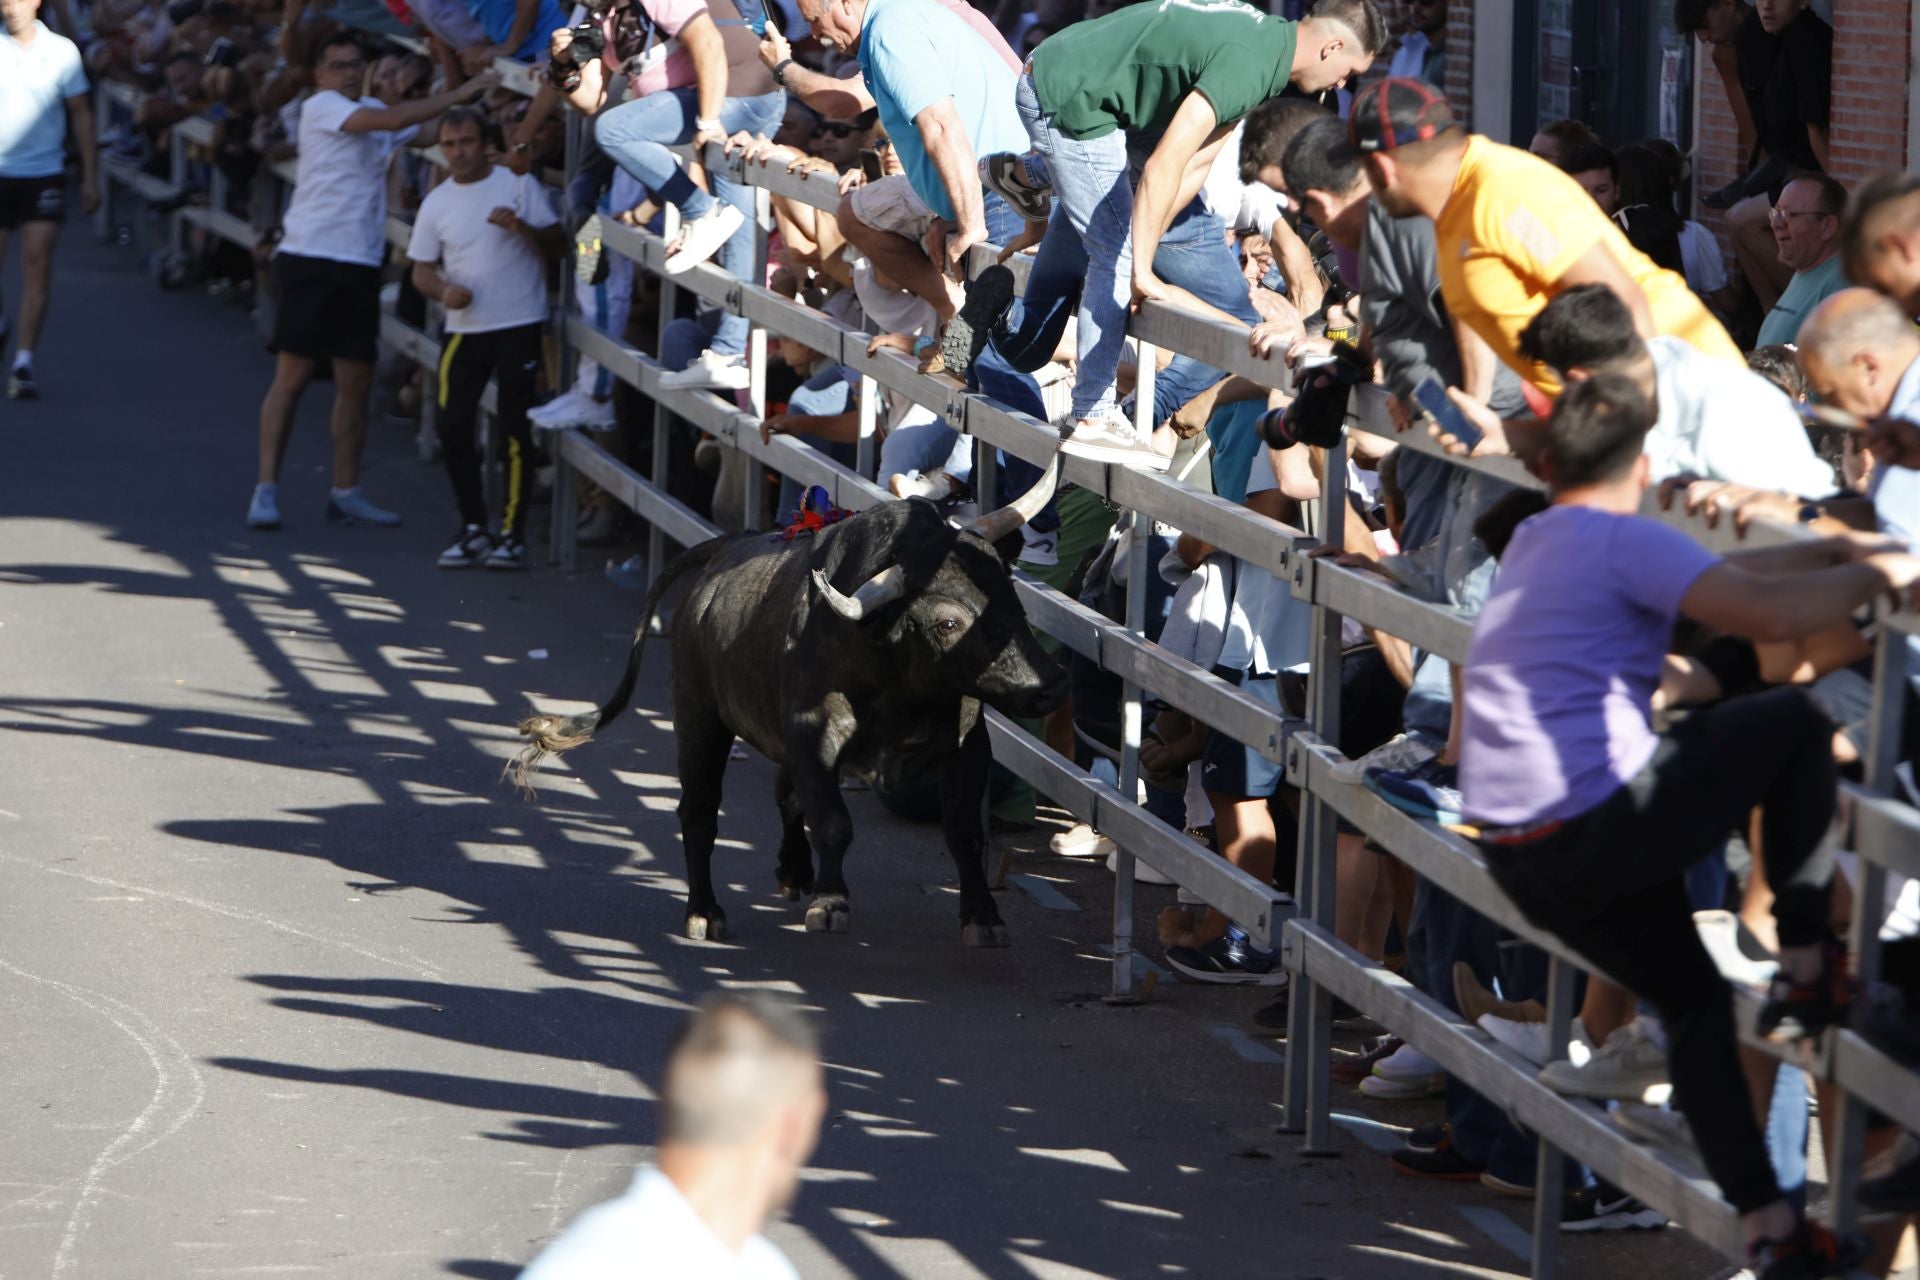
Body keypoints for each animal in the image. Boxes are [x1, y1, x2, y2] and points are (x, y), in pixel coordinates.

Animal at [510, 466, 1075, 948]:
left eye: (1011, 597)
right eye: (948, 622)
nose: (1048, 684)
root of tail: (726, 549)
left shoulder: (966, 747)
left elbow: (963, 833)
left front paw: (983, 916)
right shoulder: (815, 737)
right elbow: (833, 823)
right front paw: (831, 903)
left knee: (784, 795)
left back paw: (793, 871)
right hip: (698, 719)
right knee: (699, 811)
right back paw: (705, 912)